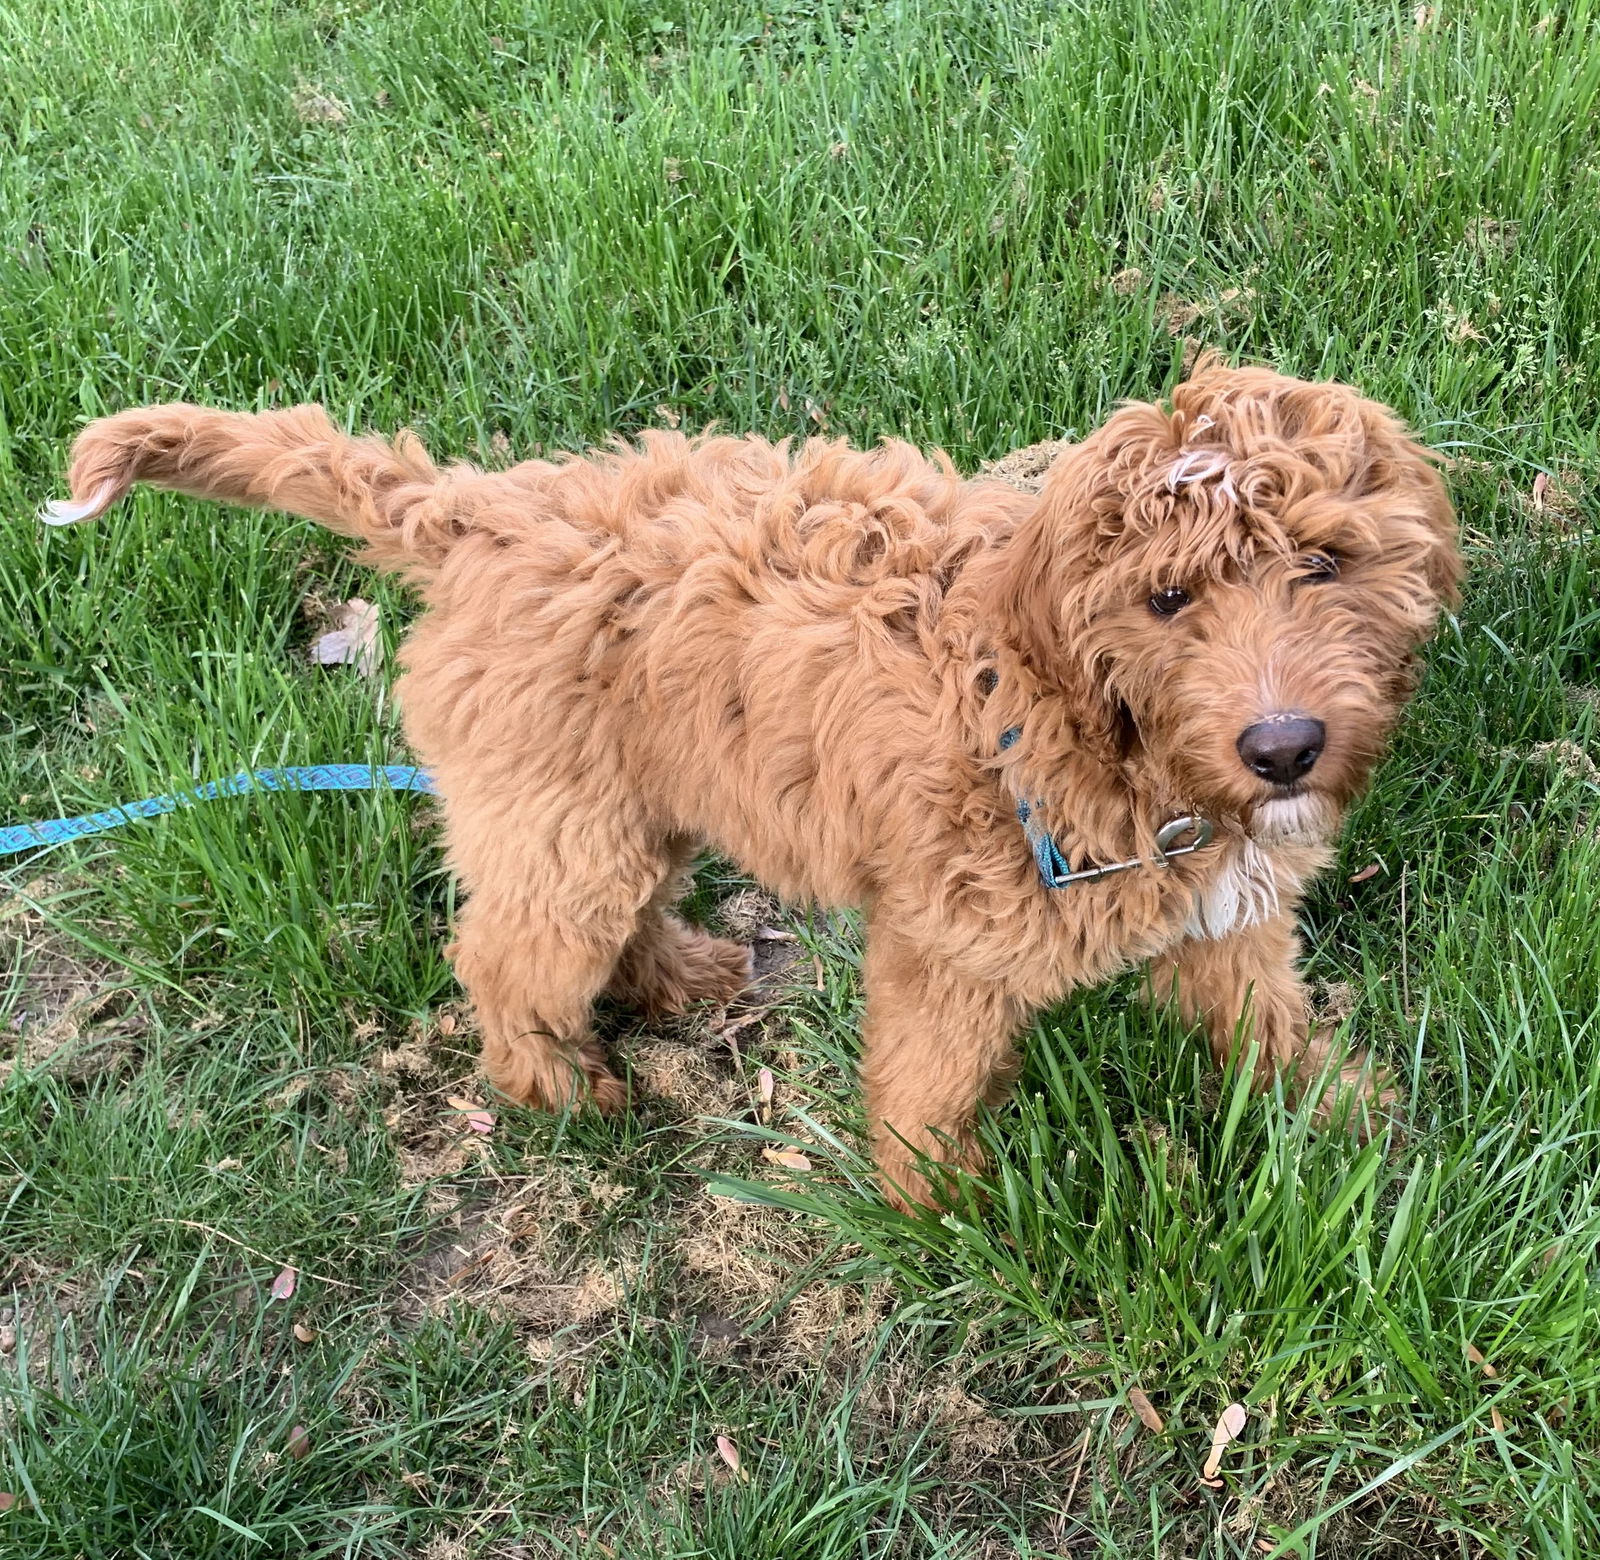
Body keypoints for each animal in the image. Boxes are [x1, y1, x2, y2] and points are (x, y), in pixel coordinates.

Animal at [43, 356, 1459, 1209]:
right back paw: (560, 1089)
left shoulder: (1224, 916)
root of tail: (481, 514)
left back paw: (680, 977)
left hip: (630, 809)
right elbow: (928, 1087)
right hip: (564, 828)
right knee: (502, 957)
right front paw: (948, 1213)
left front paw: (1344, 1116)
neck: (1084, 719)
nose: (1283, 748)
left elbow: (1263, 1020)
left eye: (1325, 564)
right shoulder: (945, 944)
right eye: (1167, 600)